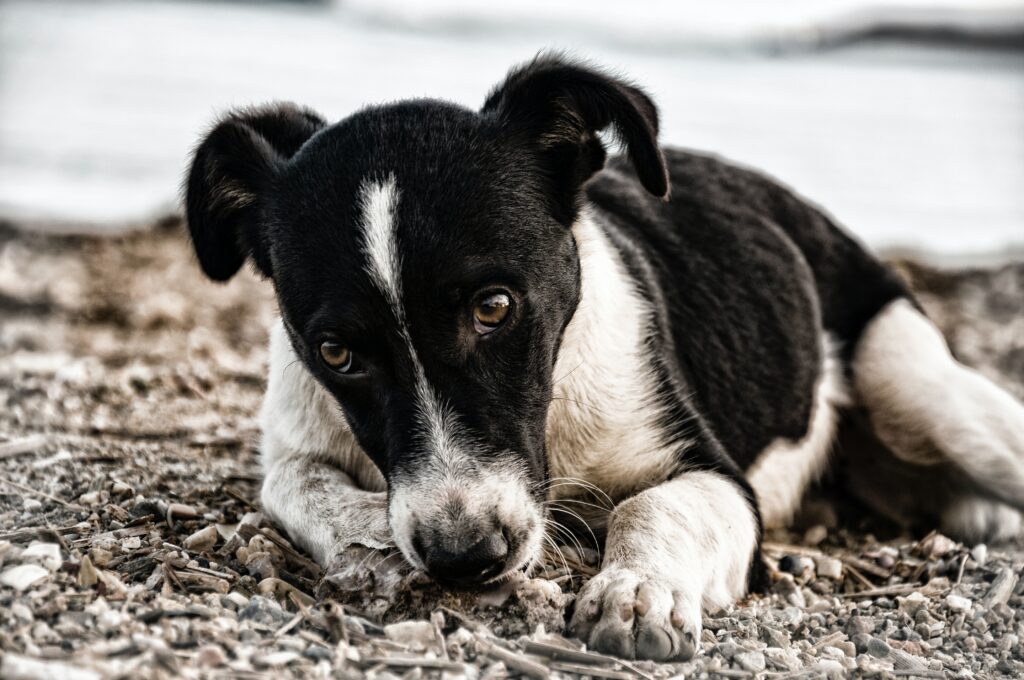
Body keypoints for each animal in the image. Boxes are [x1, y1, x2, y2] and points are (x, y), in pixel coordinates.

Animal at [184, 55, 1024, 659]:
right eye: (336, 352)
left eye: (495, 307)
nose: (466, 557)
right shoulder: (295, 432)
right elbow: (294, 484)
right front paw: (369, 539)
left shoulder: (716, 479)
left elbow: (653, 504)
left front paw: (637, 591)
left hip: (918, 387)